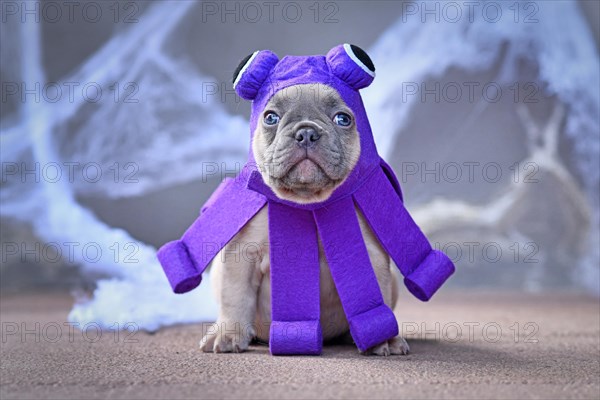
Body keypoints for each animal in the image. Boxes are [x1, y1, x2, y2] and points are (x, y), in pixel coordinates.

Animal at [199, 84, 410, 356]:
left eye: (343, 119)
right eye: (270, 118)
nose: (307, 133)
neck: (308, 203)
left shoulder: (370, 255)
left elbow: (377, 294)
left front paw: (384, 337)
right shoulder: (241, 256)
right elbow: (235, 296)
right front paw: (228, 332)